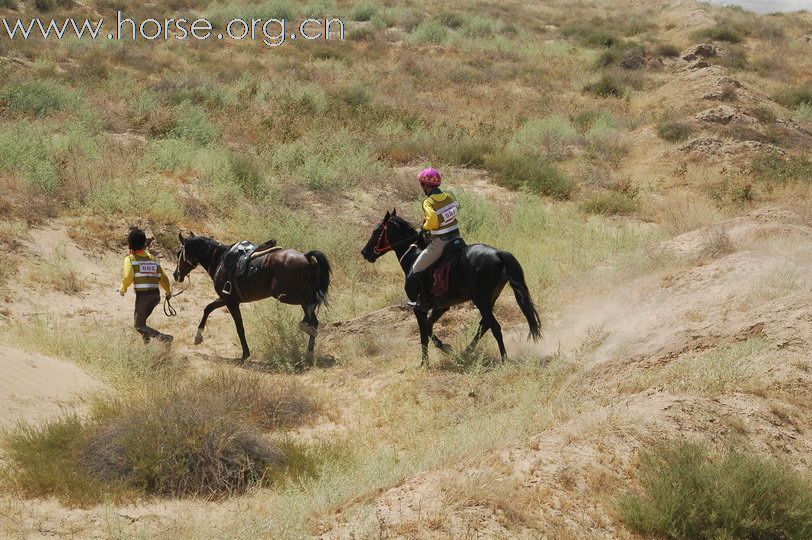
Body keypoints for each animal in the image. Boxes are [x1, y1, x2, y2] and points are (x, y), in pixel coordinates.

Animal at [174, 232, 330, 362]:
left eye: (178, 253)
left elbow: (239, 327)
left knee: (312, 309)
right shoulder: (227, 299)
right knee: (313, 315)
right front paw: (198, 337)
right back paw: (308, 351)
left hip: (285, 295)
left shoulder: (231, 302)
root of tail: (306, 256)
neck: (220, 259)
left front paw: (245, 355)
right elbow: (208, 308)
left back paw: (306, 336)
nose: (176, 275)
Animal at [360, 209, 540, 364]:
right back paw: (466, 352)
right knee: (485, 325)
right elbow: (429, 327)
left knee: (494, 327)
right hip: (489, 300)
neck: (414, 256)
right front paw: (446, 348)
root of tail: (498, 253)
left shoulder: (418, 308)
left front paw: (424, 363)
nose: (364, 252)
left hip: (481, 300)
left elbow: (423, 334)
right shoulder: (441, 306)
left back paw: (504, 359)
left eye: (376, 231)